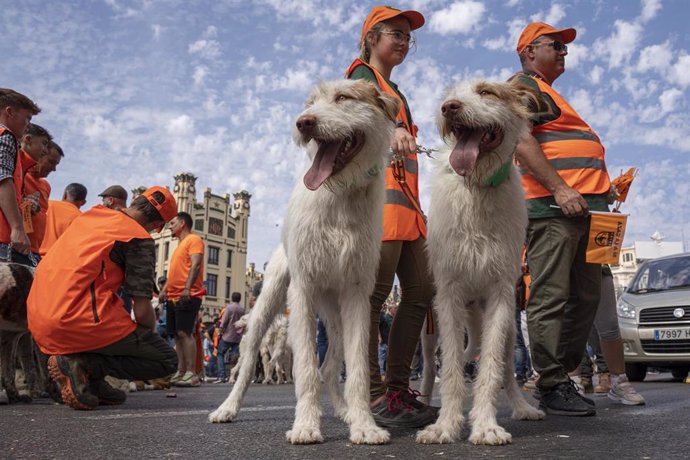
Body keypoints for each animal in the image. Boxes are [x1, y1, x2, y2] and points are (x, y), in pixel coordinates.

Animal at [207, 80, 398, 446]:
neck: (340, 195)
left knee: (330, 368)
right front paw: (306, 426)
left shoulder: (358, 296)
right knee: (247, 364)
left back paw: (346, 412)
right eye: (310, 103)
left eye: (342, 98)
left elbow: (356, 371)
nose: (303, 123)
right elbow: (306, 369)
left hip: (336, 318)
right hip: (267, 307)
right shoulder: (303, 290)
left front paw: (364, 425)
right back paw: (227, 408)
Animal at [414, 80, 544, 446]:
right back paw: (424, 401)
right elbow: (452, 369)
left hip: (504, 325)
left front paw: (485, 425)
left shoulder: (500, 295)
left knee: (504, 368)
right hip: (430, 330)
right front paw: (444, 425)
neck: (477, 188)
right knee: (432, 366)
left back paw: (522, 406)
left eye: (486, 92)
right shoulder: (449, 295)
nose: (448, 107)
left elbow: (490, 368)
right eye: (449, 94)